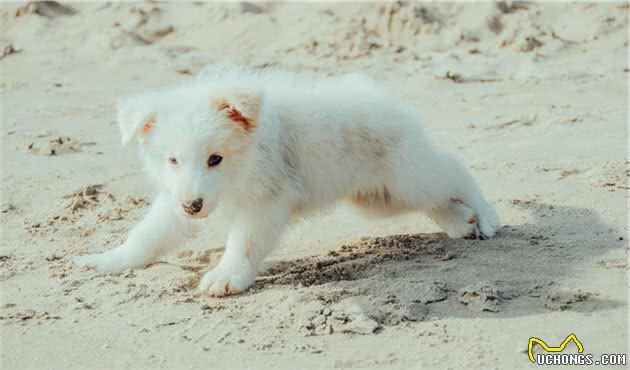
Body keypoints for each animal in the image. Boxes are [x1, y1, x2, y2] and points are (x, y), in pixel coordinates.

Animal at [76, 68, 502, 296]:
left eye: (215, 159)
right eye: (173, 160)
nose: (193, 206)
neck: (240, 172)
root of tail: (376, 93)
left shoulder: (266, 203)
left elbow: (243, 244)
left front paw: (227, 276)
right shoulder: (173, 197)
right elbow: (148, 234)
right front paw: (109, 260)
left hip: (408, 175)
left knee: (454, 171)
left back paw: (486, 216)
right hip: (378, 198)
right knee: (437, 199)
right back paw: (461, 224)